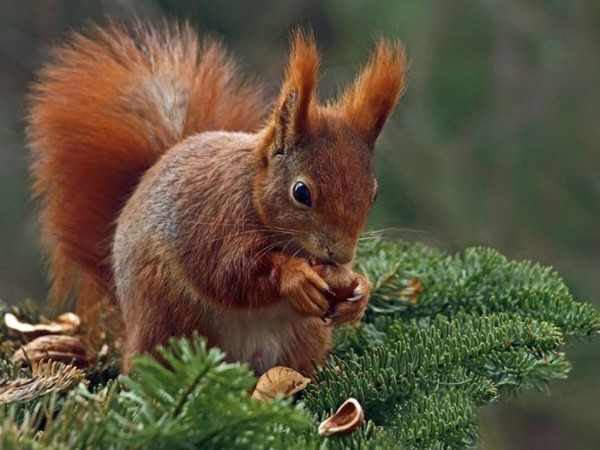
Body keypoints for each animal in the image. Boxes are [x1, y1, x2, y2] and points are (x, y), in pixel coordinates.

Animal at [27, 22, 404, 372]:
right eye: (301, 192)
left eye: (372, 194)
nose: (341, 255)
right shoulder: (216, 219)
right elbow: (230, 273)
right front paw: (295, 277)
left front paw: (360, 289)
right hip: (167, 316)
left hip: (304, 338)